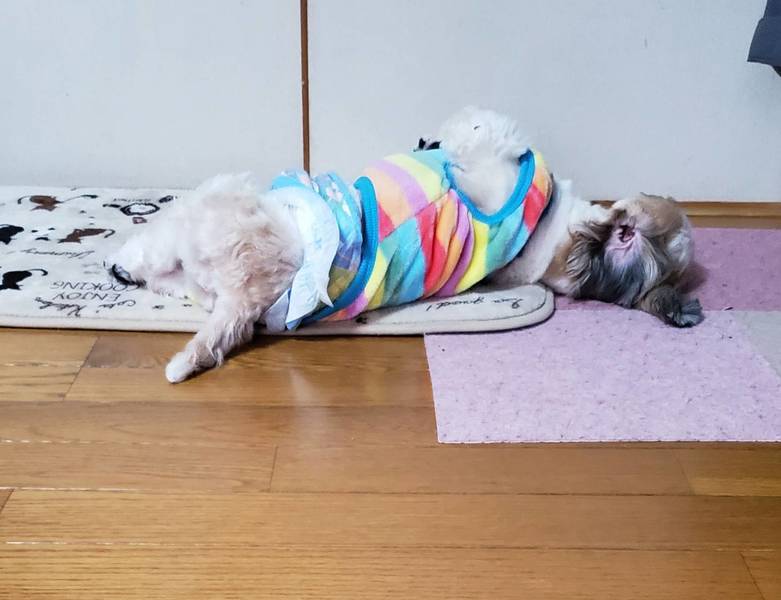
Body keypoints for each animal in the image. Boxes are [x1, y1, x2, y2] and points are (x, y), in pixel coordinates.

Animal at [107, 107, 702, 383]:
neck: (556, 237)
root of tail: (247, 293)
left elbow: (483, 131)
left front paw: (452, 133)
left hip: (208, 209)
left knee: (154, 249)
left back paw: (120, 262)